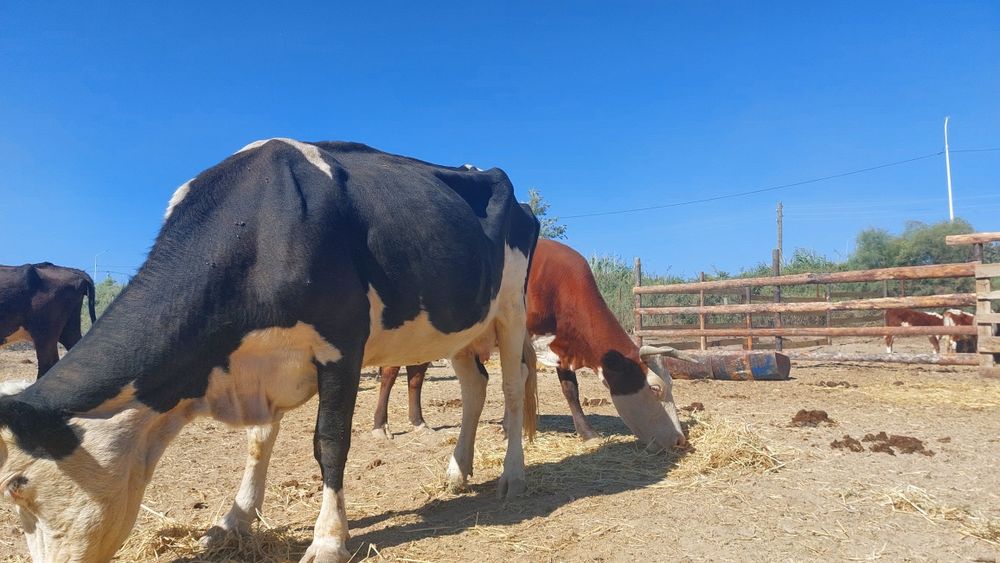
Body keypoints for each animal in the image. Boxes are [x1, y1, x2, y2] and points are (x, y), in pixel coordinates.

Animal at [0, 138, 539, 563]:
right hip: (461, 327)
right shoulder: (256, 366)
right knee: (475, 386)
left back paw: (512, 475)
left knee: (513, 387)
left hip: (512, 308)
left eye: (16, 488)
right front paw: (234, 520)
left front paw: (328, 540)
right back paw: (457, 472)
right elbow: (258, 442)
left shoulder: (341, 345)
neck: (261, 226)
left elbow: (330, 443)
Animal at [375, 239, 690, 451]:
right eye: (655, 389)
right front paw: (509, 429)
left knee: (416, 374)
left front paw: (587, 433)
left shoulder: (563, 345)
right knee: (390, 372)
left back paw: (419, 423)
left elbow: (570, 390)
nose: (679, 440)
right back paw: (381, 426)